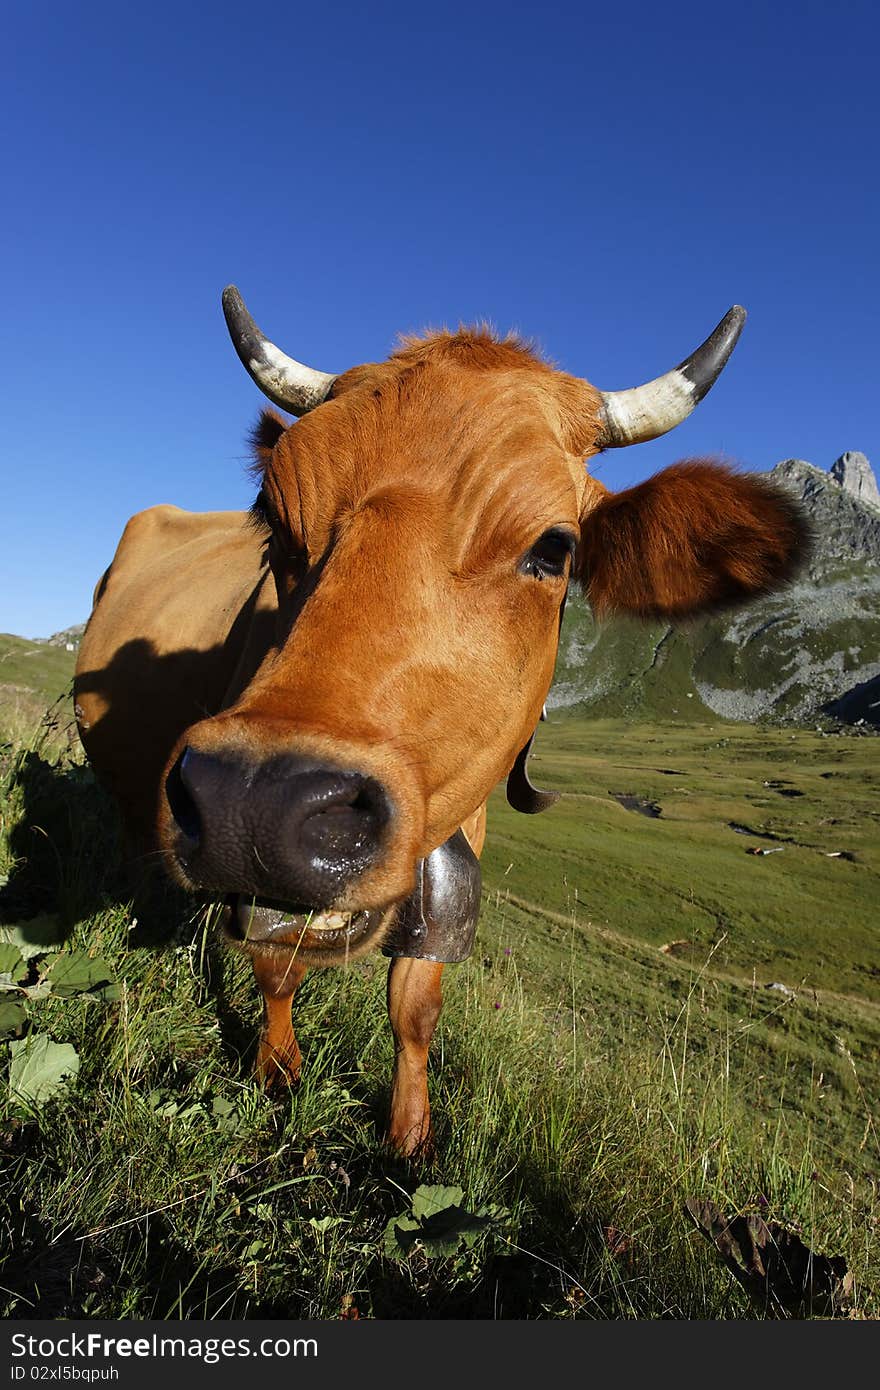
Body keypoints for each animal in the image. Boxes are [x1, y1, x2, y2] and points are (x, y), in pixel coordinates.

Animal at [75, 287, 800, 1156]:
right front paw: (277, 1072)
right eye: (275, 524)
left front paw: (411, 1134)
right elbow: (276, 963)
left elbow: (415, 1002)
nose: (255, 803)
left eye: (555, 549)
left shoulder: (461, 832)